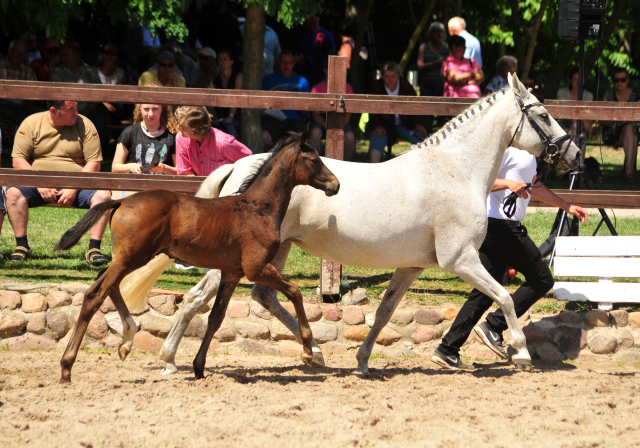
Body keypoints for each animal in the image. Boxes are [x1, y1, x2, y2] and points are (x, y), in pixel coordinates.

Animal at [53, 132, 340, 382]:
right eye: (314, 160)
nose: (335, 185)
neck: (258, 208)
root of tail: (121, 201)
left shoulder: (231, 273)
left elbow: (215, 318)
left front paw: (199, 367)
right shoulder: (256, 268)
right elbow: (295, 292)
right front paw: (308, 351)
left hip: (126, 258)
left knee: (108, 286)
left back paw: (127, 341)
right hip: (131, 258)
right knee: (95, 294)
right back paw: (67, 367)